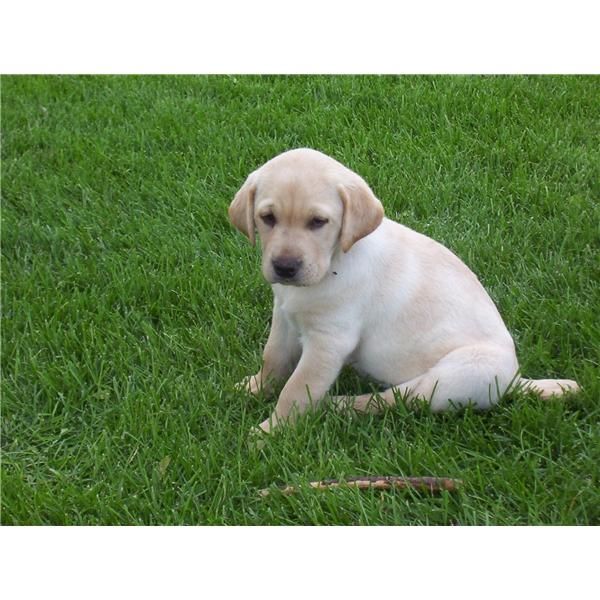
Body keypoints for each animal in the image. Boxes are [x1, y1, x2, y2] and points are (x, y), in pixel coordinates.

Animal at [229, 148, 576, 434]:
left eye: (318, 222)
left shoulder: (330, 341)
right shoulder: (284, 316)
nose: (285, 267)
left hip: (453, 376)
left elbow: (297, 389)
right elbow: (272, 357)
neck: (334, 263)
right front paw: (255, 388)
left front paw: (269, 432)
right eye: (267, 218)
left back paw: (337, 405)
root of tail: (515, 381)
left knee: (395, 399)